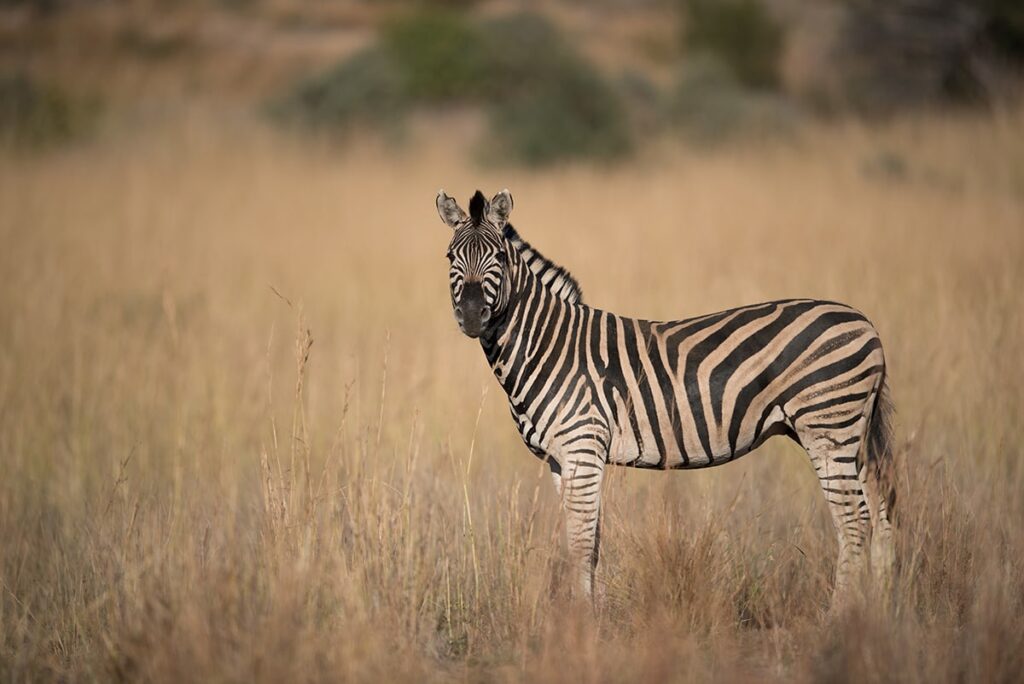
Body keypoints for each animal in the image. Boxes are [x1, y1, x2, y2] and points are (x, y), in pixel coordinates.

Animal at [438, 187, 897, 602]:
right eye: (449, 258)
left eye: (499, 257)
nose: (473, 315)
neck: (546, 343)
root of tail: (867, 324)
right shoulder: (560, 458)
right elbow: (587, 545)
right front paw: (586, 619)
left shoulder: (583, 447)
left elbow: (582, 546)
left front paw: (582, 625)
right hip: (851, 435)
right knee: (881, 514)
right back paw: (877, 617)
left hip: (827, 427)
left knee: (855, 522)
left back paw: (840, 620)